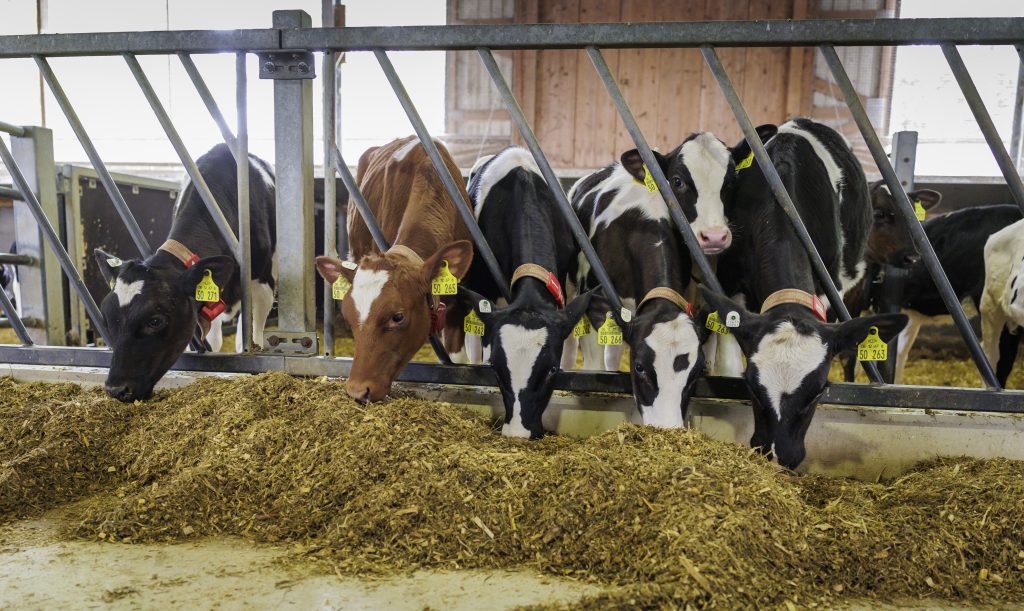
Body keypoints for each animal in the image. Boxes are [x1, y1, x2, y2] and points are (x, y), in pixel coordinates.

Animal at [94, 143, 277, 402]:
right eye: (107, 318)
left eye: (155, 320)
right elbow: (212, 341)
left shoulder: (263, 284)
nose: (116, 389)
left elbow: (253, 338)